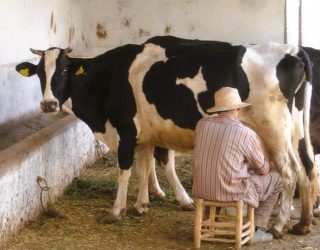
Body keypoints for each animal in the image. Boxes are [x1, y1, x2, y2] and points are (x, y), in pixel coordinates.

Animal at [16, 36, 318, 236]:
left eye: (65, 70)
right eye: (40, 73)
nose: (48, 104)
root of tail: (292, 50)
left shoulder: (126, 130)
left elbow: (126, 169)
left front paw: (116, 211)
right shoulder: (146, 133)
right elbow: (145, 165)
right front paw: (142, 204)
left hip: (273, 129)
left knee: (290, 171)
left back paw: (279, 224)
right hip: (295, 131)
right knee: (307, 168)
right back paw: (302, 223)